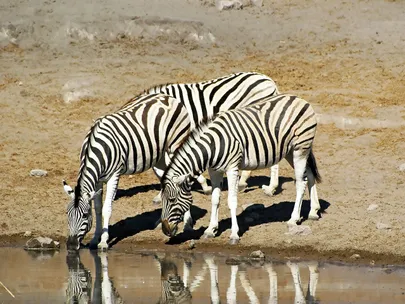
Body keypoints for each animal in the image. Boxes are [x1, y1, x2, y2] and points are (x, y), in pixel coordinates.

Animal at [62, 92, 191, 249]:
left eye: (85, 215)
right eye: (67, 213)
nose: (71, 245)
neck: (96, 148)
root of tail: (167, 96)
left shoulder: (114, 175)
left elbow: (106, 209)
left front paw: (103, 241)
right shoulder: (98, 180)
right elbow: (98, 208)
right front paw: (94, 239)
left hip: (175, 145)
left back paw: (187, 223)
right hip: (159, 157)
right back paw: (161, 222)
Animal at [145, 70, 280, 202]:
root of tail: (269, 80)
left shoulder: (175, 139)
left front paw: (205, 186)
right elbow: (161, 170)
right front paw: (160, 195)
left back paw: (269, 188)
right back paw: (246, 183)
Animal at [159, 94, 320, 243]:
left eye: (172, 200)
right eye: (162, 200)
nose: (165, 230)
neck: (212, 146)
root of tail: (299, 99)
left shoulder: (232, 168)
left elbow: (232, 201)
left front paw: (234, 234)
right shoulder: (214, 170)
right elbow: (215, 199)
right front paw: (211, 229)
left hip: (300, 148)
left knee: (301, 182)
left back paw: (294, 219)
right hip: (290, 151)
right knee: (310, 175)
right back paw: (313, 211)